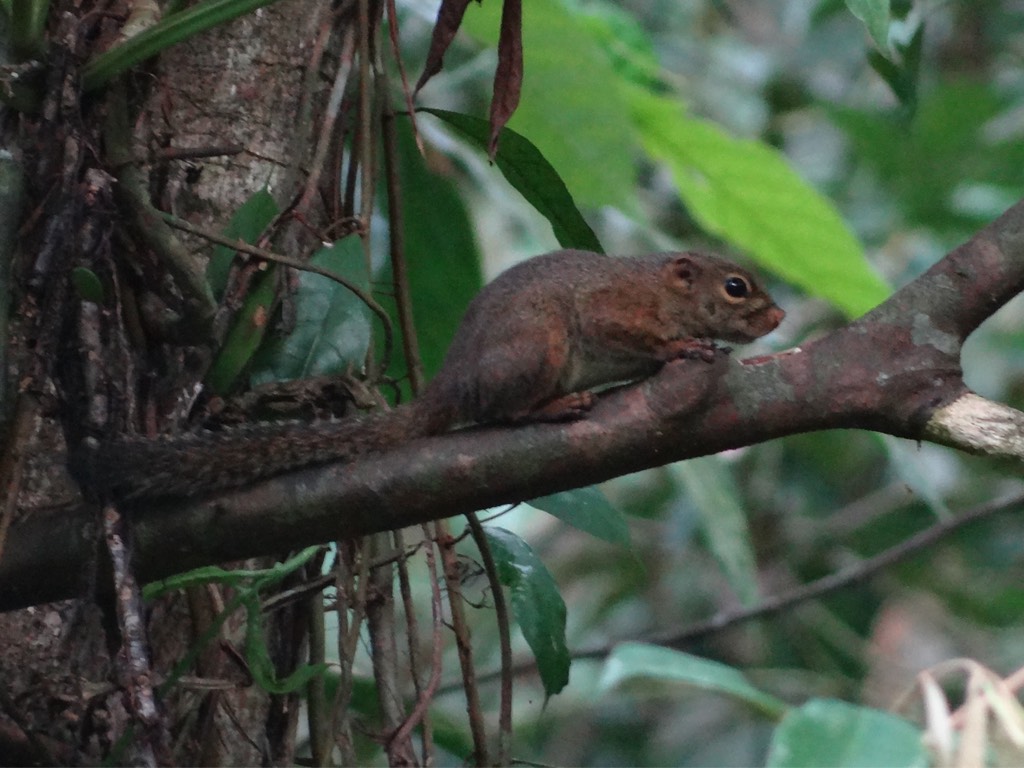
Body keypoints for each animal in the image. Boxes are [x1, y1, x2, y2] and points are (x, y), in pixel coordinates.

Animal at [77, 249, 784, 499]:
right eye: (735, 285)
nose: (779, 316)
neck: (661, 287)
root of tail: (449, 386)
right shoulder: (611, 307)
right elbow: (630, 333)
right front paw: (684, 348)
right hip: (538, 348)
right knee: (502, 411)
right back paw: (553, 408)